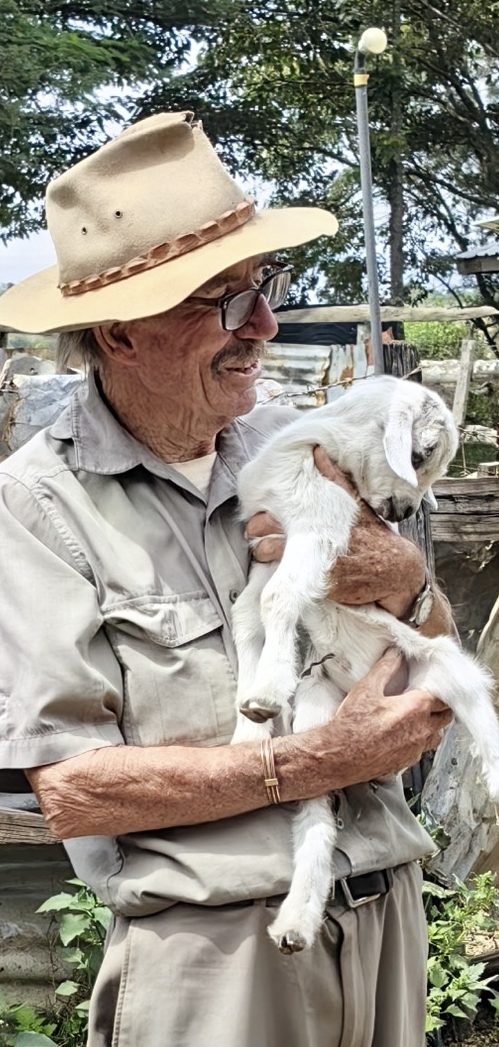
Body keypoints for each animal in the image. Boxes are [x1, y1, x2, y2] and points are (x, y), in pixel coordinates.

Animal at [229, 376, 497, 959]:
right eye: (419, 454)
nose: (402, 511)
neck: (322, 444)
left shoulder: (316, 529)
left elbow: (274, 601)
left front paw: (264, 691)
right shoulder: (273, 540)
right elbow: (251, 613)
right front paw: (249, 723)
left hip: (444, 669)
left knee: (484, 721)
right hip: (318, 723)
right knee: (316, 821)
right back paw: (295, 923)